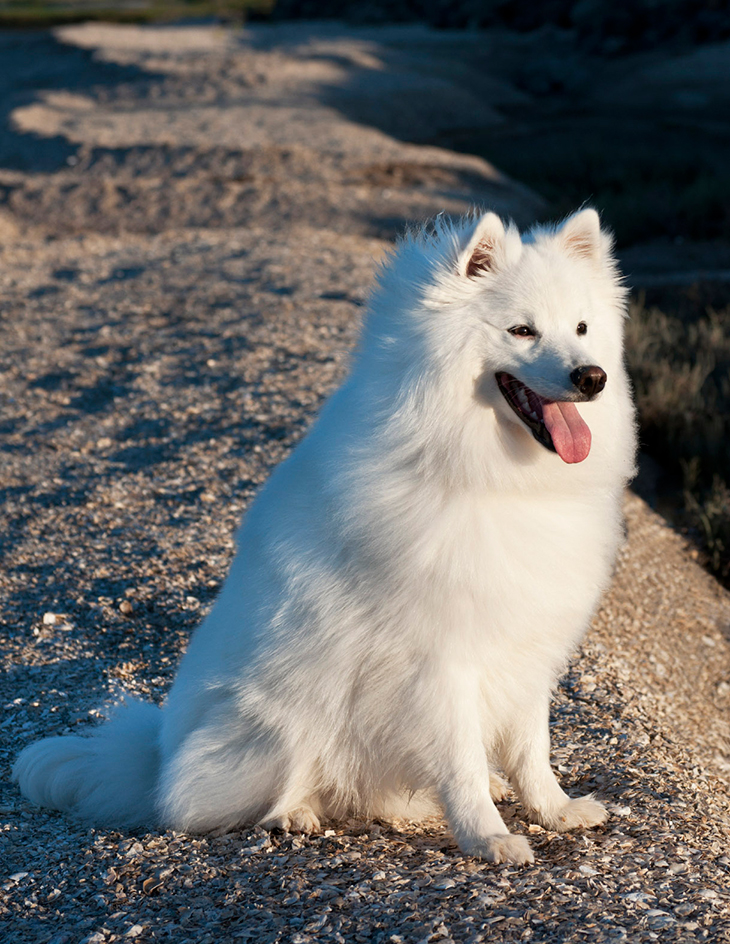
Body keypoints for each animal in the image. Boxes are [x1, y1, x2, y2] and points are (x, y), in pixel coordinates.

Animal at [14, 210, 636, 868]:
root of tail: (157, 761)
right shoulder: (440, 662)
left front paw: (555, 811)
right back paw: (296, 815)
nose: (591, 378)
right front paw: (487, 837)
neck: (490, 476)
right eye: (521, 330)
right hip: (282, 721)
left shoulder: (526, 653)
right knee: (240, 801)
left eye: (582, 328)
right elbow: (460, 761)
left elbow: (531, 751)